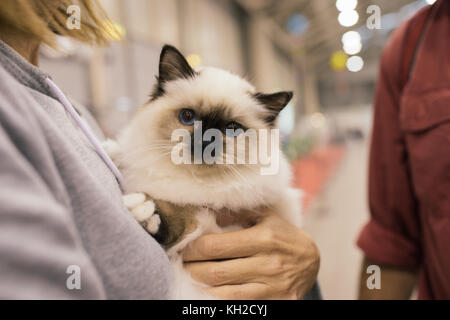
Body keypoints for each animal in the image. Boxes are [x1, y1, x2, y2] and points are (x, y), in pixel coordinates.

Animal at [104, 45, 302, 300]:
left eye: (232, 129)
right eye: (188, 117)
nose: (206, 140)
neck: (191, 181)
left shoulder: (219, 229)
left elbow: (182, 214)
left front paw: (146, 209)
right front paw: (112, 150)